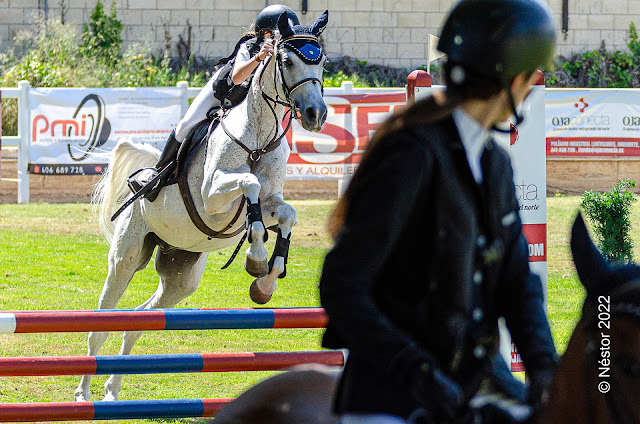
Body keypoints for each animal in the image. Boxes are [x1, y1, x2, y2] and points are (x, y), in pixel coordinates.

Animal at [74, 9, 330, 402]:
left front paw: (266, 281)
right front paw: (256, 258)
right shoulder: (212, 198)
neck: (259, 137)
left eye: (324, 62)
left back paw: (112, 391)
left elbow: (285, 214)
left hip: (181, 277)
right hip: (125, 258)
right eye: (287, 60)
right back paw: (83, 393)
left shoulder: (271, 202)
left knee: (137, 322)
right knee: (101, 323)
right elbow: (249, 184)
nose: (316, 114)